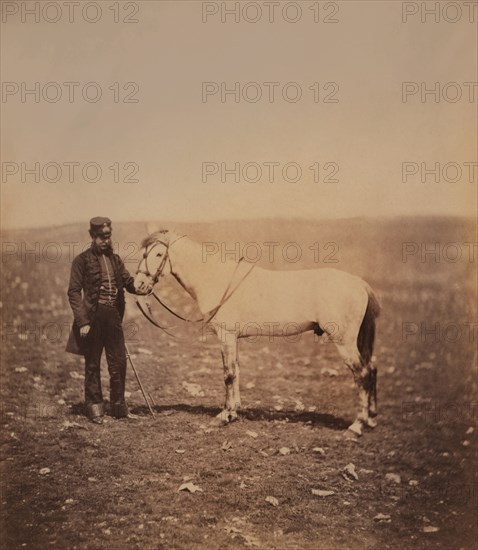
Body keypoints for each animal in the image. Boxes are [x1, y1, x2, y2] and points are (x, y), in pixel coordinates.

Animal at [133, 230, 380, 436]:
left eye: (158, 253)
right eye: (143, 253)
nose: (139, 284)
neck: (217, 279)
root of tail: (359, 283)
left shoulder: (226, 336)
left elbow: (228, 374)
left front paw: (224, 415)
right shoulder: (233, 339)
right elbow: (236, 371)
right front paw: (233, 412)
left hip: (344, 342)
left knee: (362, 374)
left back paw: (357, 426)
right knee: (372, 369)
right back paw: (371, 419)